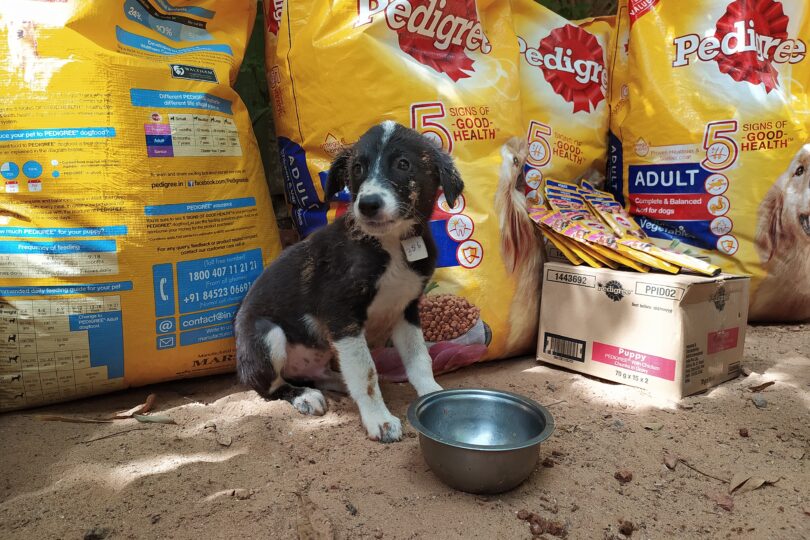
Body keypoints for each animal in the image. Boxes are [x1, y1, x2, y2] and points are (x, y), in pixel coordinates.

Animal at [234, 122, 460, 442]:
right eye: (357, 168)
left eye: (403, 164)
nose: (367, 204)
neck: (390, 243)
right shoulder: (341, 315)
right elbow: (366, 372)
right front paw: (380, 420)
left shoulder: (406, 309)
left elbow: (419, 359)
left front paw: (432, 394)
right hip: (267, 336)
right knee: (270, 387)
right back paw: (303, 395)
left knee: (323, 375)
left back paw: (339, 382)